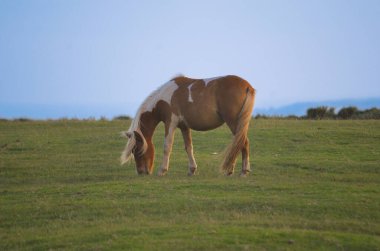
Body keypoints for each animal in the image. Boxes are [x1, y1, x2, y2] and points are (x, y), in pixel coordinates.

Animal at [121, 75, 255, 176]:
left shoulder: (170, 123)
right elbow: (189, 147)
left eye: (137, 150)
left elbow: (167, 146)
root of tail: (247, 86)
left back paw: (243, 171)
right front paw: (192, 170)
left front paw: (162, 170)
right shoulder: (184, 126)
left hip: (234, 123)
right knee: (238, 144)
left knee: (243, 142)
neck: (165, 97)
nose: (141, 172)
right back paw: (232, 170)